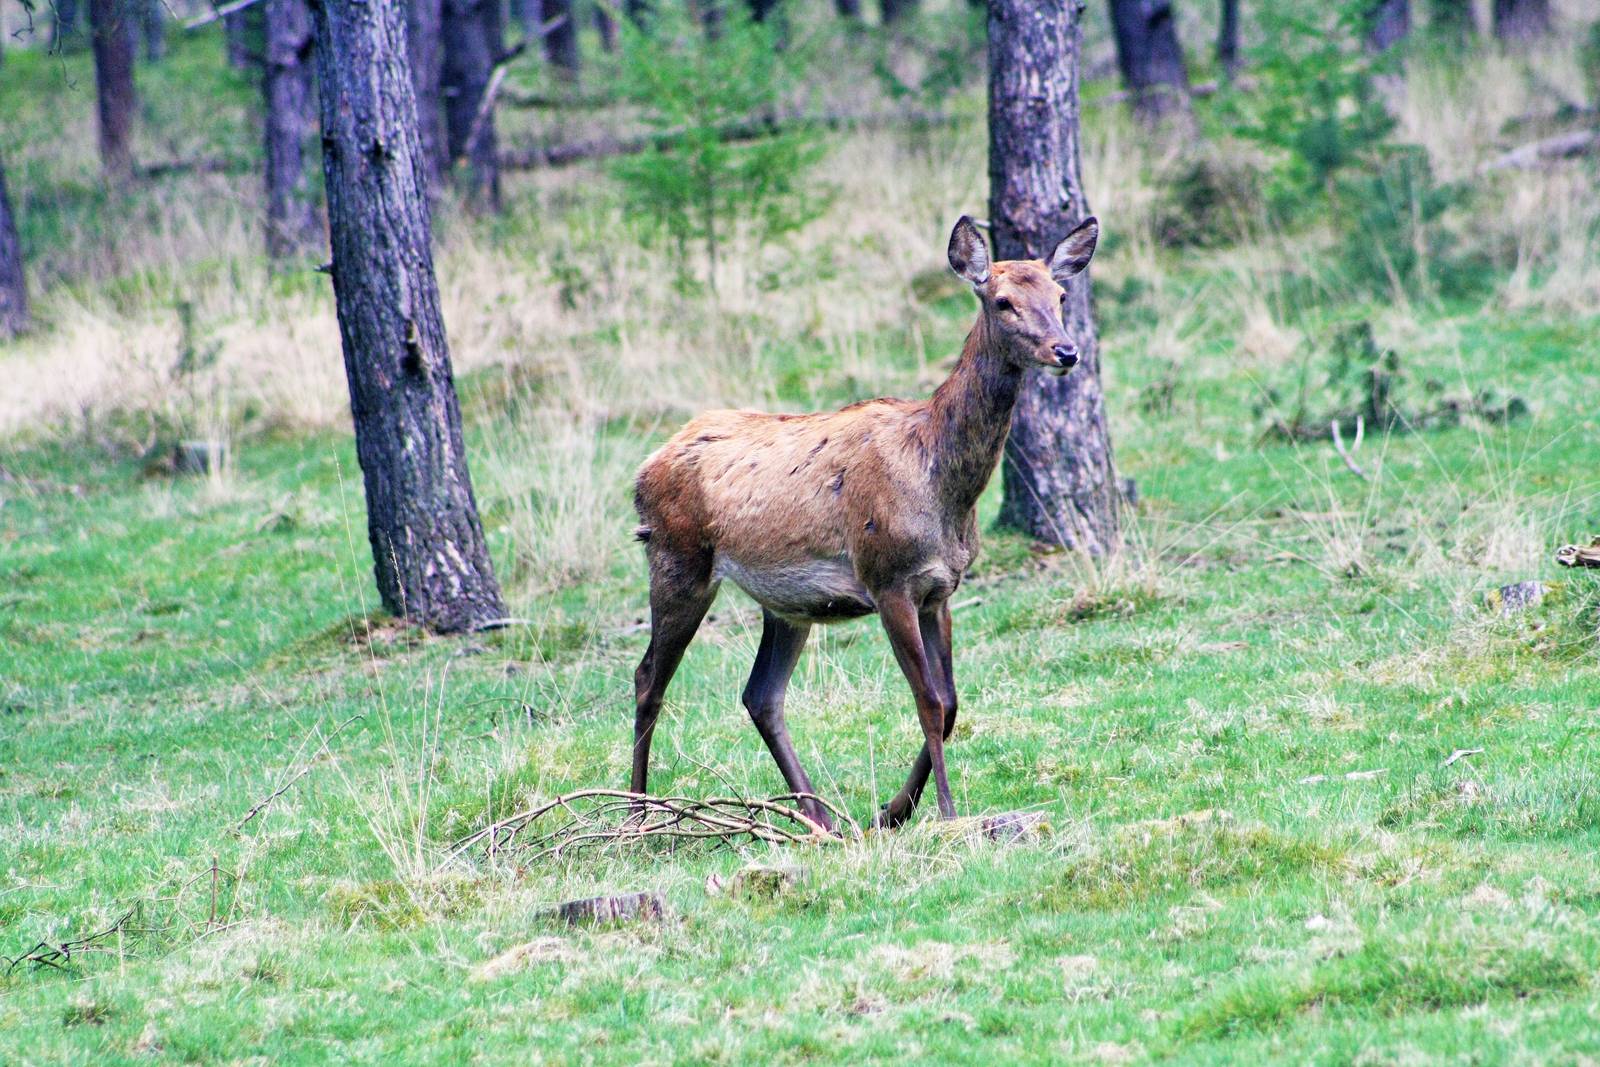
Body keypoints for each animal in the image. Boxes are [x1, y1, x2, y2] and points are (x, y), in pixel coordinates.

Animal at [629, 213, 1100, 831]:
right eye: (1003, 301)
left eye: (1061, 295)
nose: (1066, 350)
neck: (944, 487)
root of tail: (643, 469)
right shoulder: (888, 578)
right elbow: (928, 701)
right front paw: (946, 812)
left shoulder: (939, 588)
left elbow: (951, 701)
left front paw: (891, 812)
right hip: (677, 559)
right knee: (647, 680)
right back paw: (635, 815)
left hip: (786, 604)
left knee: (760, 696)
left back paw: (821, 819)